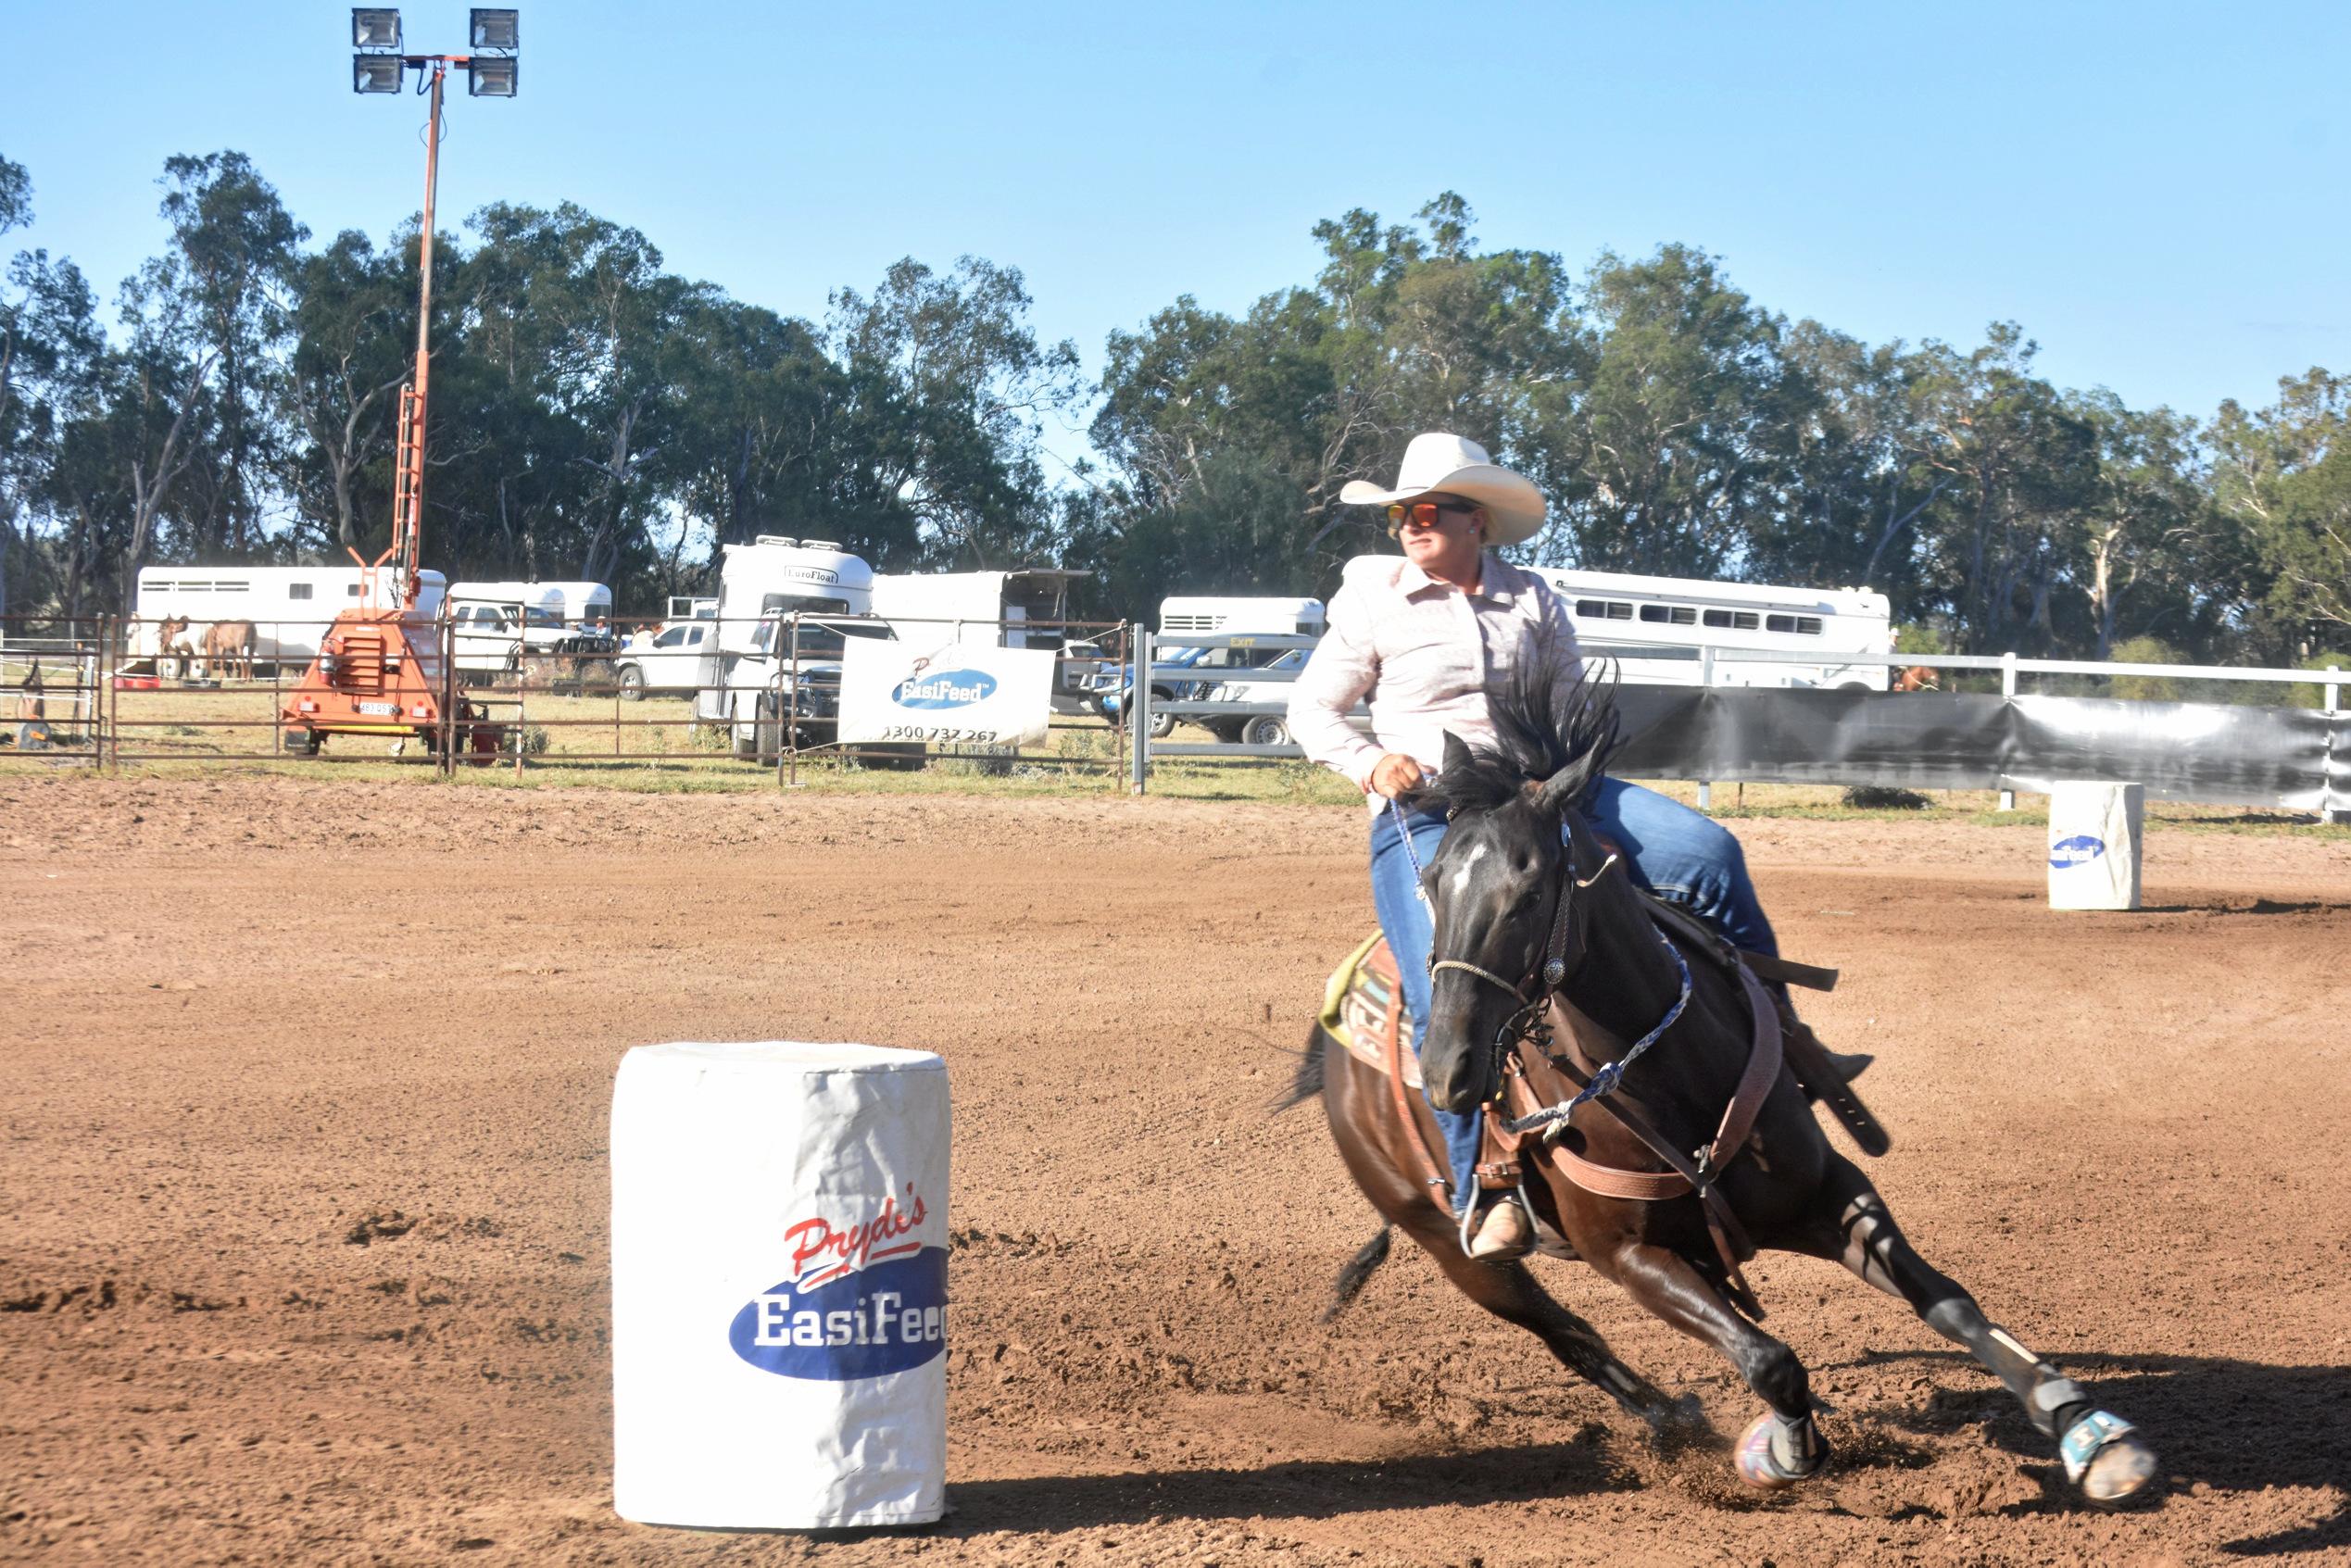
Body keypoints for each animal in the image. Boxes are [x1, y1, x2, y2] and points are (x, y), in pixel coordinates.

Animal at [1288, 667, 2162, 1513]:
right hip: (1450, 1244)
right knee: (1572, 1336)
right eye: (1431, 882)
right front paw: (1783, 1451)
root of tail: (1335, 1053)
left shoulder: (1829, 1190)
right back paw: (1676, 1422)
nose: (1447, 1072)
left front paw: (2084, 1427)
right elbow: (1770, 1359)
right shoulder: (1626, 1255)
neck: (1662, 1072)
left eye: (1531, 892)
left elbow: (1948, 1301)